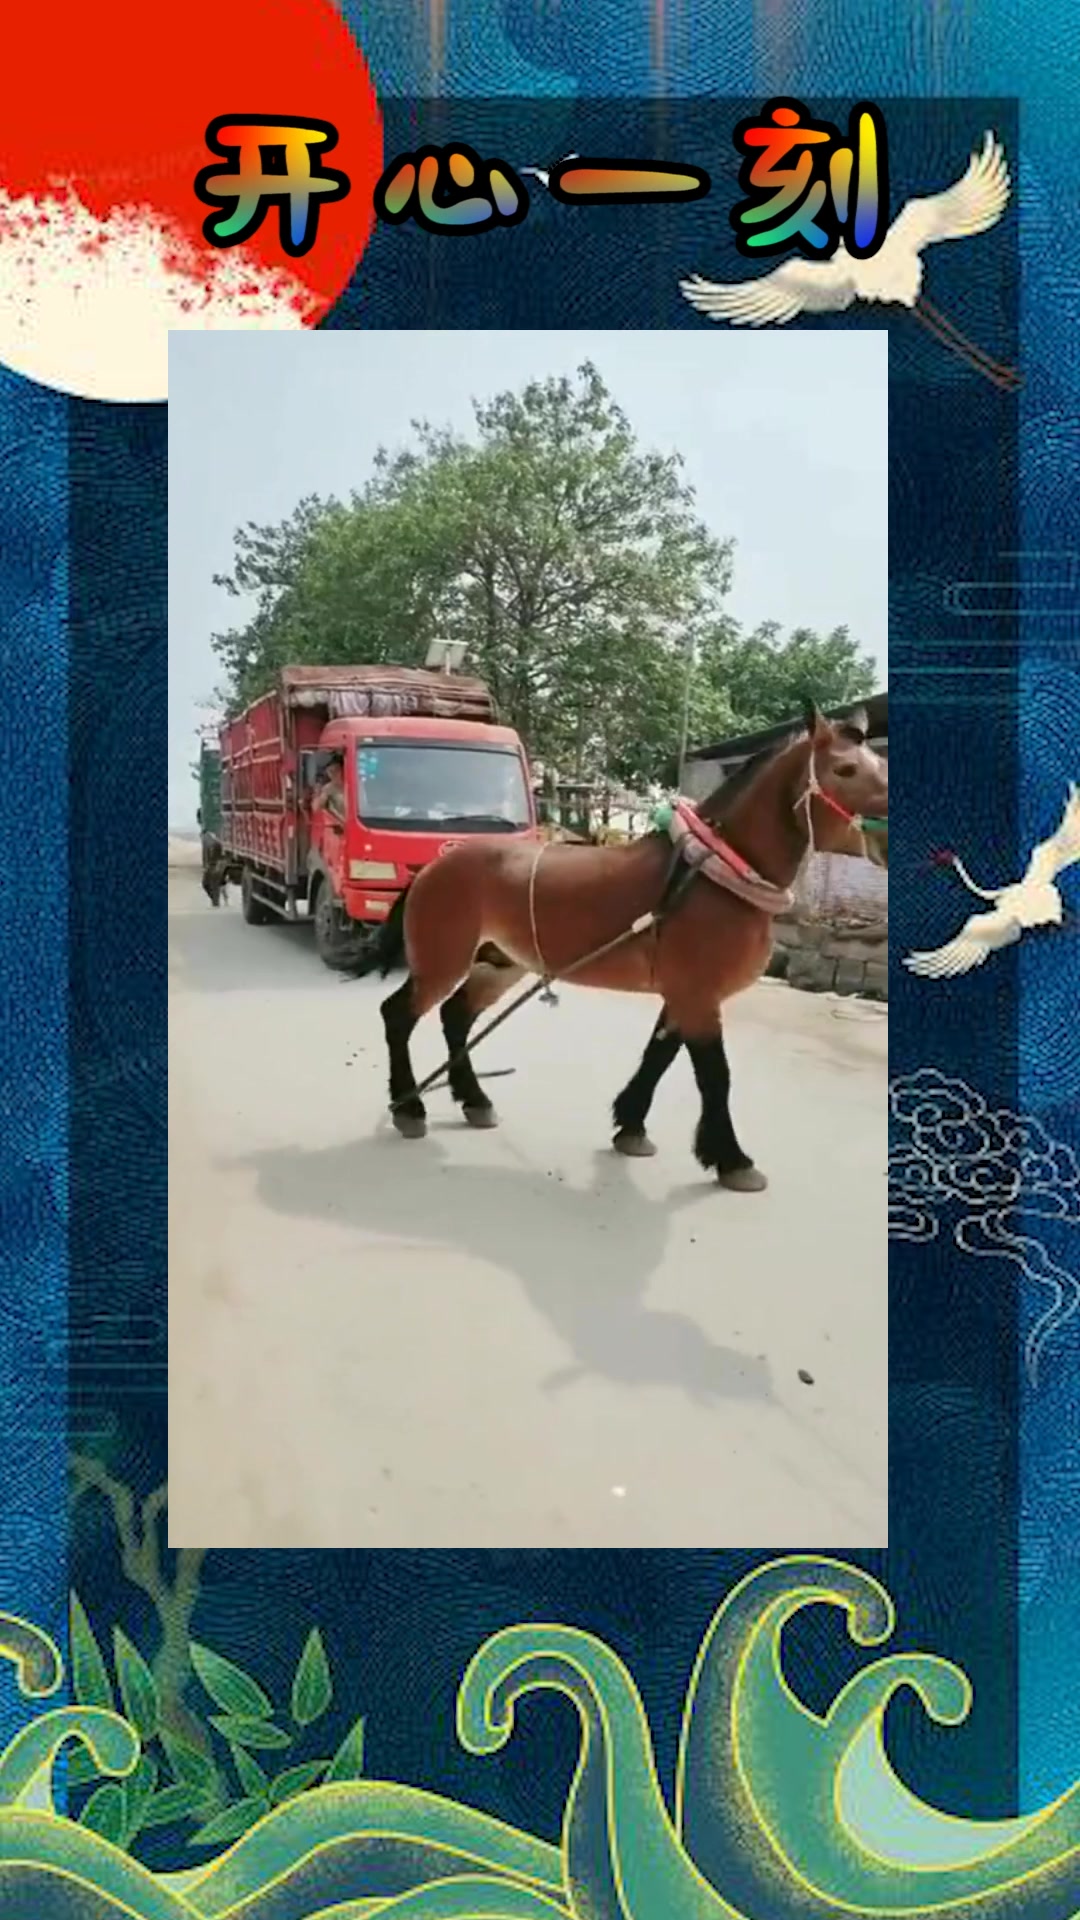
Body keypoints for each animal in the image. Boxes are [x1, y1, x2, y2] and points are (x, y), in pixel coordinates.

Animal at [350, 701, 888, 1190]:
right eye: (845, 769)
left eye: (880, 765)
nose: (888, 835)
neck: (714, 876)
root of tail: (435, 865)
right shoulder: (698, 996)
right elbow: (714, 1076)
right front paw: (733, 1159)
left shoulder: (683, 995)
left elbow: (658, 1057)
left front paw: (631, 1126)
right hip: (441, 961)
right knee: (398, 1015)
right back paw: (409, 1108)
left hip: (499, 963)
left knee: (456, 1017)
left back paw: (476, 1101)